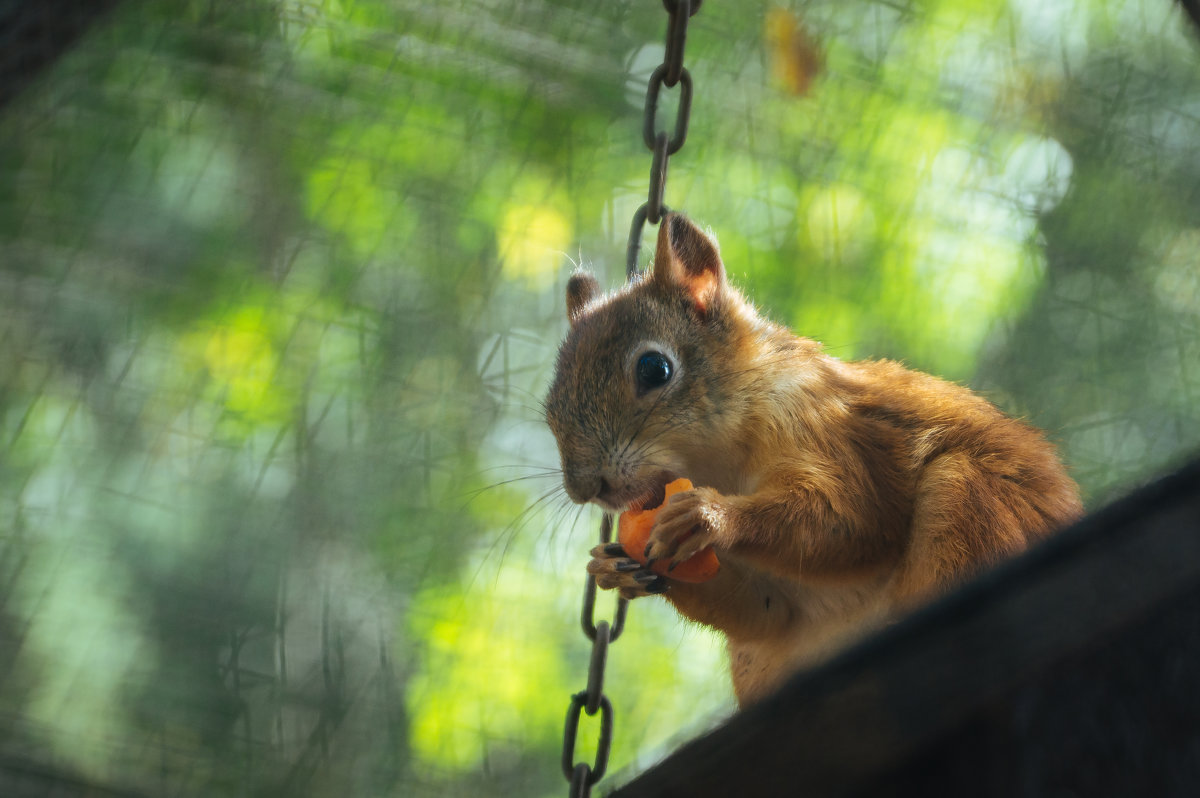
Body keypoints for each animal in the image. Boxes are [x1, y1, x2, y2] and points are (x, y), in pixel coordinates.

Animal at [549, 210, 1084, 705]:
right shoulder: (770, 601)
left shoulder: (823, 428)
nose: (585, 488)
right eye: (551, 404)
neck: (720, 464)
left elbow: (851, 519)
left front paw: (710, 516)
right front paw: (616, 568)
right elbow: (766, 611)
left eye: (654, 369)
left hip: (972, 500)